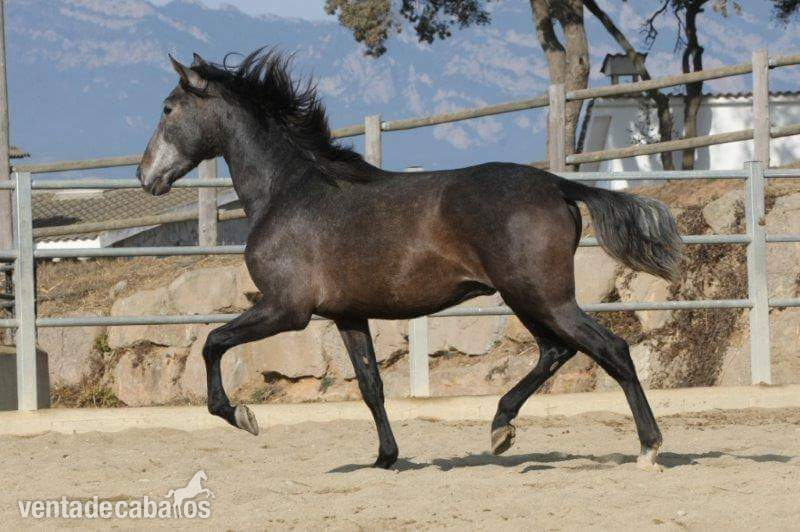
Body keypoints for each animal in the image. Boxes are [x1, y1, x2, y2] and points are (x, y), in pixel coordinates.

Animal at [136, 48, 681, 472]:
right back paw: (500, 428)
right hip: (529, 298)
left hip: (541, 296)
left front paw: (242, 416)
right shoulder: (347, 314)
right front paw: (386, 457)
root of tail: (557, 184)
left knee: (610, 349)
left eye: (167, 108)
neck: (287, 193)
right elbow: (371, 385)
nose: (146, 176)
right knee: (557, 350)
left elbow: (213, 342)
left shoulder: (285, 309)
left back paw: (648, 448)